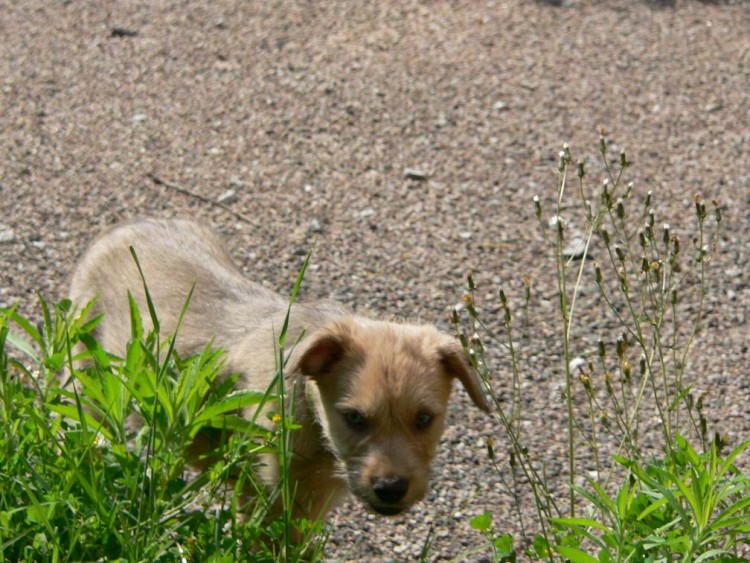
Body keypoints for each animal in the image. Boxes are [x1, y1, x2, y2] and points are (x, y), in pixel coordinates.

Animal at [69, 218, 494, 524]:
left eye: (424, 419)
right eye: (354, 418)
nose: (391, 488)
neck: (316, 431)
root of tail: (121, 228)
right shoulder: (265, 500)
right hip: (86, 377)